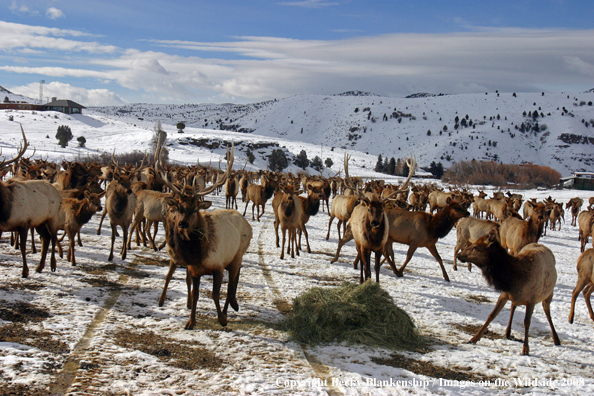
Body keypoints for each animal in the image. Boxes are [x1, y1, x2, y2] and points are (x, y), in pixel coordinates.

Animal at [0, 125, 61, 276]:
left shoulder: (24, 222)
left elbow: (22, 247)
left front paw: (25, 271)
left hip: (52, 217)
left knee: (53, 237)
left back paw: (52, 264)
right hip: (39, 221)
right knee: (46, 238)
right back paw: (40, 266)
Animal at [154, 138, 251, 328]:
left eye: (194, 208)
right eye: (178, 207)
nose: (182, 223)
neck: (197, 254)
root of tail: (246, 223)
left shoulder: (218, 266)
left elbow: (215, 294)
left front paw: (221, 319)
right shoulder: (194, 270)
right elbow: (195, 294)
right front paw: (190, 322)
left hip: (237, 254)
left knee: (232, 283)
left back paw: (229, 309)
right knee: (235, 278)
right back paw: (233, 305)